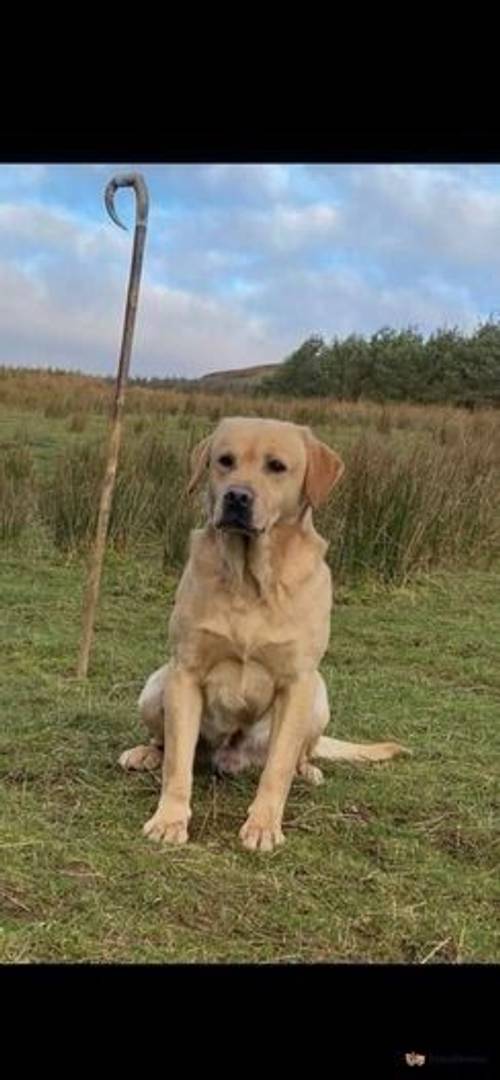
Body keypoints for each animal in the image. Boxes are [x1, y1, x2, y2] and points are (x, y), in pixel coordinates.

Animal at [120, 416, 406, 846]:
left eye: (276, 466)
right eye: (225, 460)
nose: (237, 497)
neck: (250, 579)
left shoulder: (298, 681)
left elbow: (278, 768)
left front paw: (263, 825)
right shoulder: (184, 672)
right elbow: (178, 764)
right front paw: (169, 819)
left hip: (318, 696)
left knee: (303, 752)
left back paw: (309, 770)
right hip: (156, 685)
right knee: (167, 742)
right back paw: (146, 752)